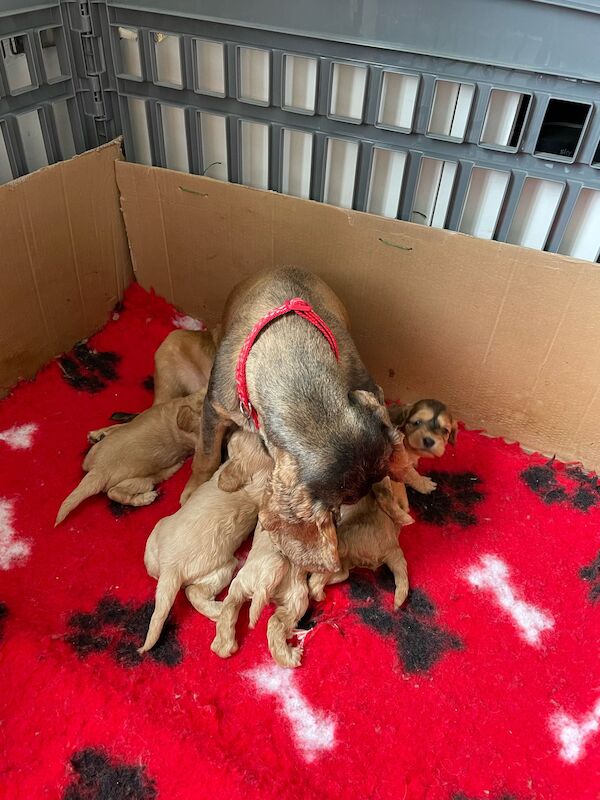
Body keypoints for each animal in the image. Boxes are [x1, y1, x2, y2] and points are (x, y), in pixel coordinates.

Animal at [137, 428, 270, 652]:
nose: (235, 429)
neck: (254, 479)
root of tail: (171, 567)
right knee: (189, 590)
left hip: (223, 565)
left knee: (193, 592)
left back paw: (218, 609)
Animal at [210, 524, 310, 668]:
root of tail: (265, 578)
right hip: (298, 597)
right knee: (276, 623)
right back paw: (290, 656)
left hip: (242, 582)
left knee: (230, 605)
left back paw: (223, 645)